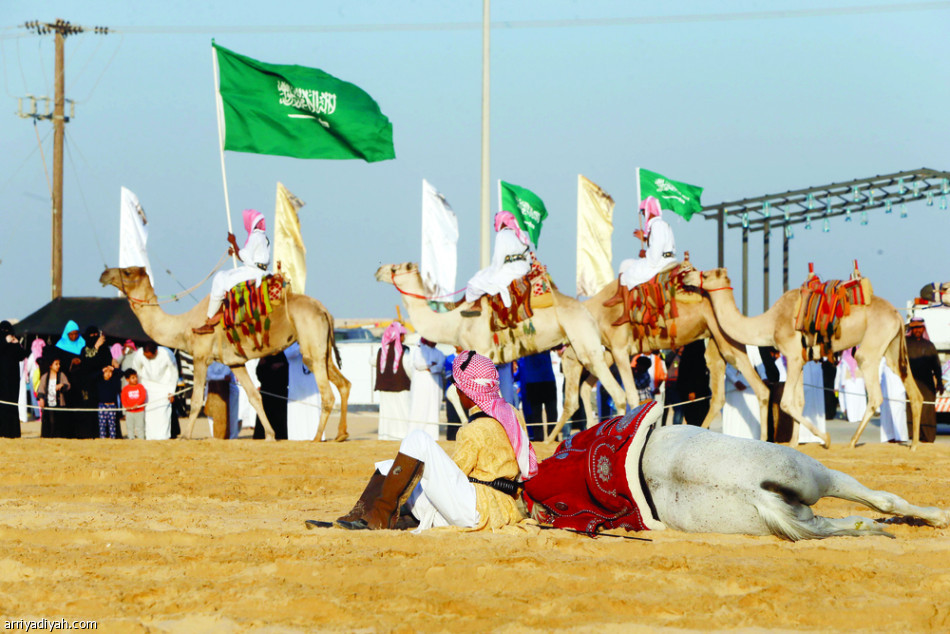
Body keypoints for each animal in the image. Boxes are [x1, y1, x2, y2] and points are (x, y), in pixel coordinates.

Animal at [98, 266, 352, 440]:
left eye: (127, 272)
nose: (104, 274)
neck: (184, 326)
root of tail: (324, 310)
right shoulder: (235, 363)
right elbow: (255, 396)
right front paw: (270, 435)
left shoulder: (200, 357)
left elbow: (197, 400)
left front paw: (185, 436)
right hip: (322, 349)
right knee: (344, 384)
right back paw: (341, 435)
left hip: (310, 343)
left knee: (327, 393)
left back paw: (316, 438)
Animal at [376, 262, 628, 410]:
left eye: (396, 268)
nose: (378, 271)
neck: (454, 322)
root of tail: (586, 311)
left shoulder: (480, 351)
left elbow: (458, 392)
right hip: (575, 349)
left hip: (585, 341)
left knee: (618, 394)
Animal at [548, 278, 768, 442]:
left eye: (564, 363)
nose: (567, 403)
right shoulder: (611, 350)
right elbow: (587, 388)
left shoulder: (618, 349)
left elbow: (630, 395)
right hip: (715, 338)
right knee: (720, 394)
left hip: (723, 335)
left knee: (759, 387)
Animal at [684, 266, 924, 450]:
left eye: (706, 274)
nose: (686, 275)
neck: (770, 323)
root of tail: (897, 313)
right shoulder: (799, 360)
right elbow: (799, 402)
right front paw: (793, 443)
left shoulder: (791, 355)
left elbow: (786, 402)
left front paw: (826, 439)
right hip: (892, 346)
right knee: (913, 390)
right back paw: (913, 445)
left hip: (871, 347)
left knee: (874, 393)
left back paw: (852, 442)